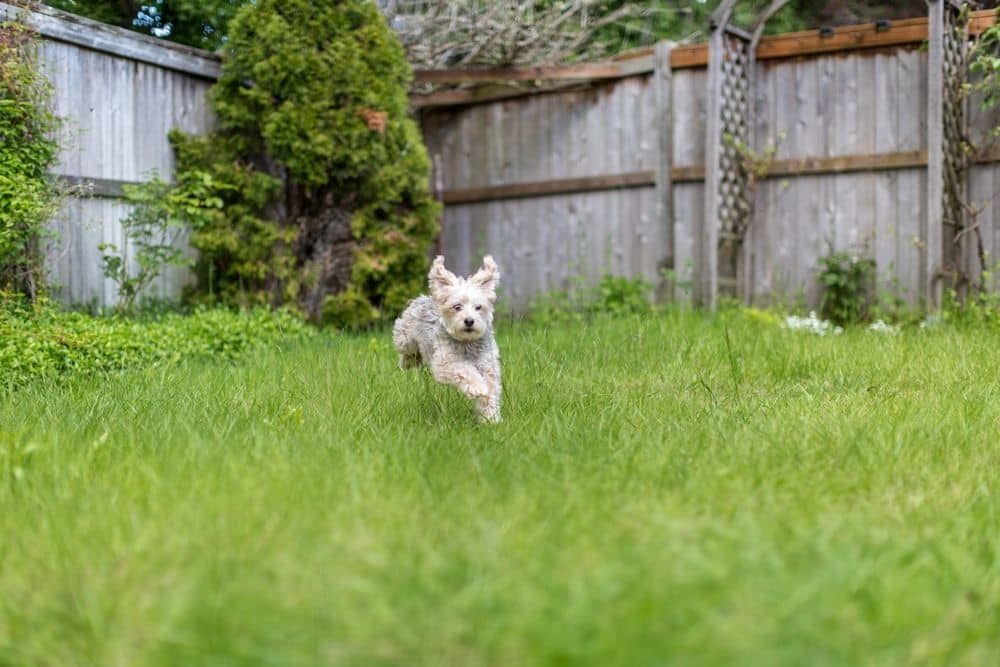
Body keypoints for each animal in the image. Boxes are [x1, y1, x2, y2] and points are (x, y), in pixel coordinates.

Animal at [390, 256, 500, 422]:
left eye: (478, 307)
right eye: (457, 307)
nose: (469, 321)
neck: (467, 342)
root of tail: (424, 298)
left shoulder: (489, 366)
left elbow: (490, 393)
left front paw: (491, 419)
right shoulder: (446, 363)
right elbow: (465, 371)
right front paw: (477, 387)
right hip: (405, 338)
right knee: (407, 352)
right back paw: (407, 362)